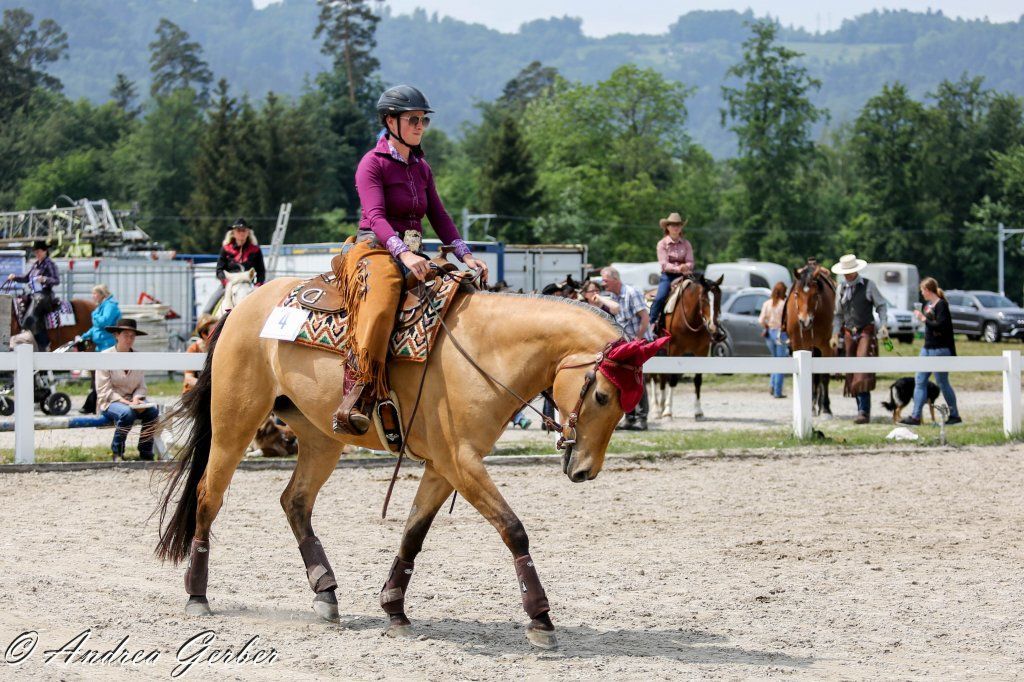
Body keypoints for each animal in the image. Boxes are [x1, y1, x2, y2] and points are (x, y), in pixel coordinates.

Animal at [154, 276, 654, 650]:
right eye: (602, 396)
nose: (585, 470)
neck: (485, 348)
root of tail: (241, 308)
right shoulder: (461, 461)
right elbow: (513, 529)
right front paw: (541, 620)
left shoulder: (444, 467)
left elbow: (413, 533)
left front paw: (394, 607)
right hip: (235, 422)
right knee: (208, 496)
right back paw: (197, 594)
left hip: (321, 438)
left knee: (295, 502)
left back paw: (326, 592)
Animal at [649, 274, 724, 420]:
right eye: (703, 299)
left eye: (719, 298)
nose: (714, 328)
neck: (690, 319)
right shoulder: (674, 350)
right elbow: (673, 379)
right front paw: (668, 411)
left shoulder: (701, 351)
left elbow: (698, 380)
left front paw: (698, 411)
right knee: (654, 377)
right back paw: (656, 409)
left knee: (661, 377)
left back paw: (661, 405)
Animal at [784, 264, 836, 416]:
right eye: (796, 294)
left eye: (815, 295)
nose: (805, 322)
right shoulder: (800, 346)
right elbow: (811, 377)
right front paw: (811, 407)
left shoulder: (826, 347)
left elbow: (824, 377)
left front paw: (826, 409)